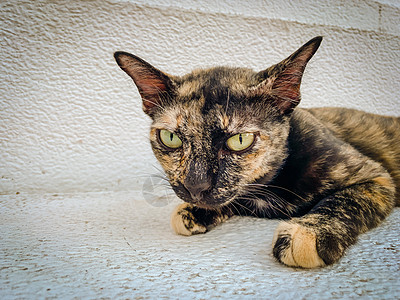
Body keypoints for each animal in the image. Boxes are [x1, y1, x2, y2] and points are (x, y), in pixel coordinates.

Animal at [114, 36, 398, 268]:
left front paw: (309, 231)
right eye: (170, 138)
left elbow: (344, 200)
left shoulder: (377, 177)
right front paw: (195, 211)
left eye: (240, 140)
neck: (270, 188)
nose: (195, 186)